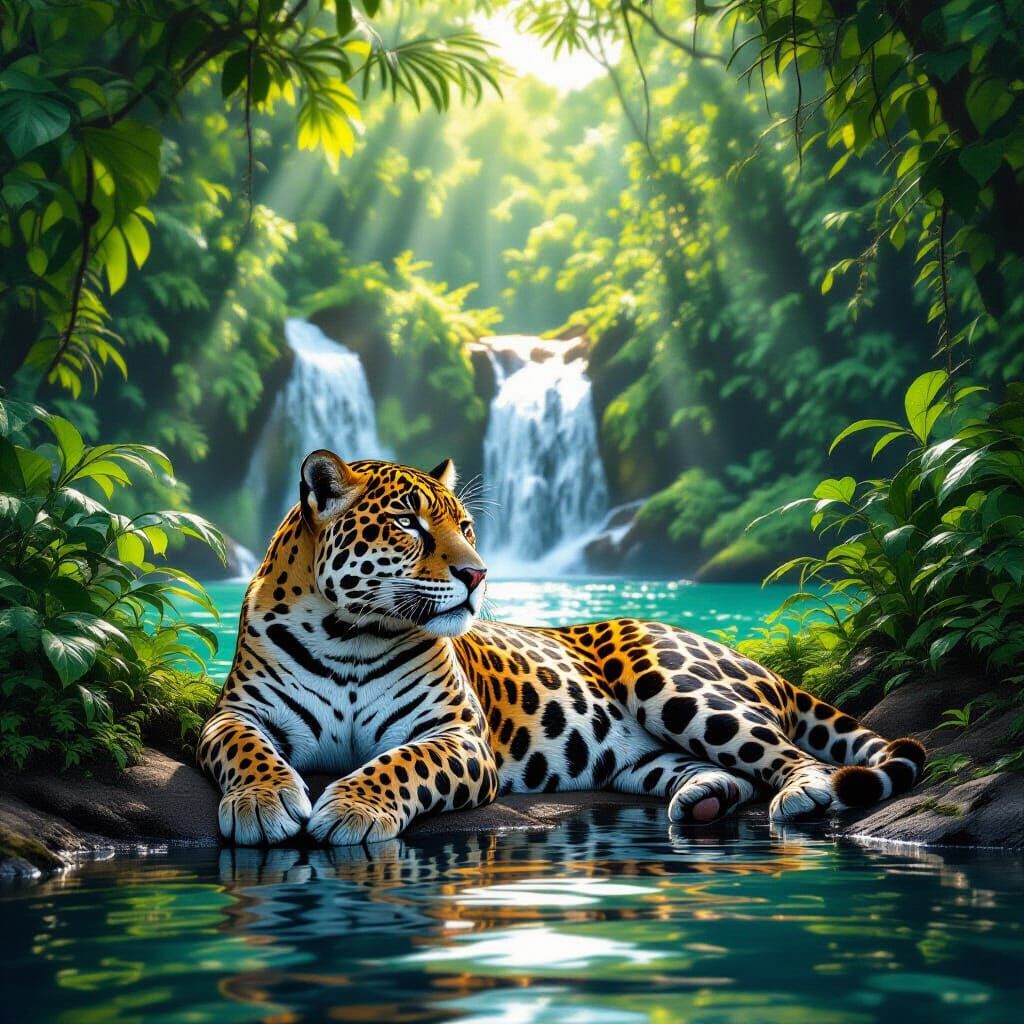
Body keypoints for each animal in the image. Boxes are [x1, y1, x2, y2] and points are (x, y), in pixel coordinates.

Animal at [198, 449, 925, 846]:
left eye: (464, 527)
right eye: (407, 524)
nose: (478, 574)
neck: (350, 632)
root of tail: (737, 653)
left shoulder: (458, 736)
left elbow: (399, 765)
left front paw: (351, 808)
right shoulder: (236, 713)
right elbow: (244, 748)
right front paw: (263, 803)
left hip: (675, 686)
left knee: (796, 756)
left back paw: (800, 796)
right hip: (634, 753)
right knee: (721, 771)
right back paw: (705, 799)